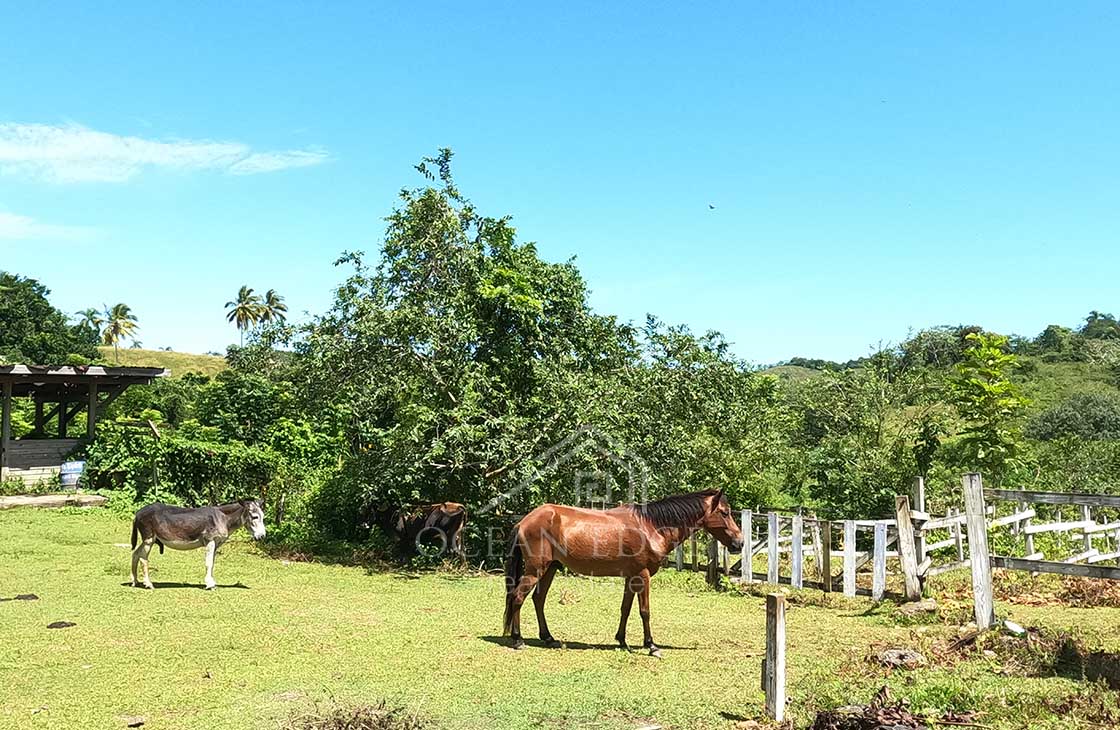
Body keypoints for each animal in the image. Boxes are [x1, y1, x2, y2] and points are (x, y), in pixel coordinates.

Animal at [501, 490, 743, 653]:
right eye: (725, 513)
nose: (739, 543)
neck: (651, 527)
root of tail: (524, 521)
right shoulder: (643, 575)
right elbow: (644, 611)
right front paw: (651, 645)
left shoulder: (631, 577)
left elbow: (625, 609)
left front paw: (622, 639)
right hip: (536, 570)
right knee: (518, 597)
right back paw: (518, 639)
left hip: (549, 569)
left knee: (538, 599)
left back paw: (548, 637)